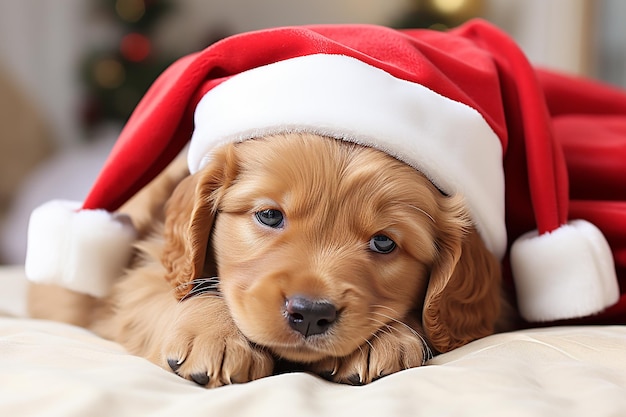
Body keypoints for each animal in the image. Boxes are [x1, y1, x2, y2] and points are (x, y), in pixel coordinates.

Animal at [28, 132, 502, 386]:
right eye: (270, 215)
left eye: (385, 244)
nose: (310, 313)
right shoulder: (141, 274)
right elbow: (175, 294)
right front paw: (216, 335)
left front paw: (384, 339)